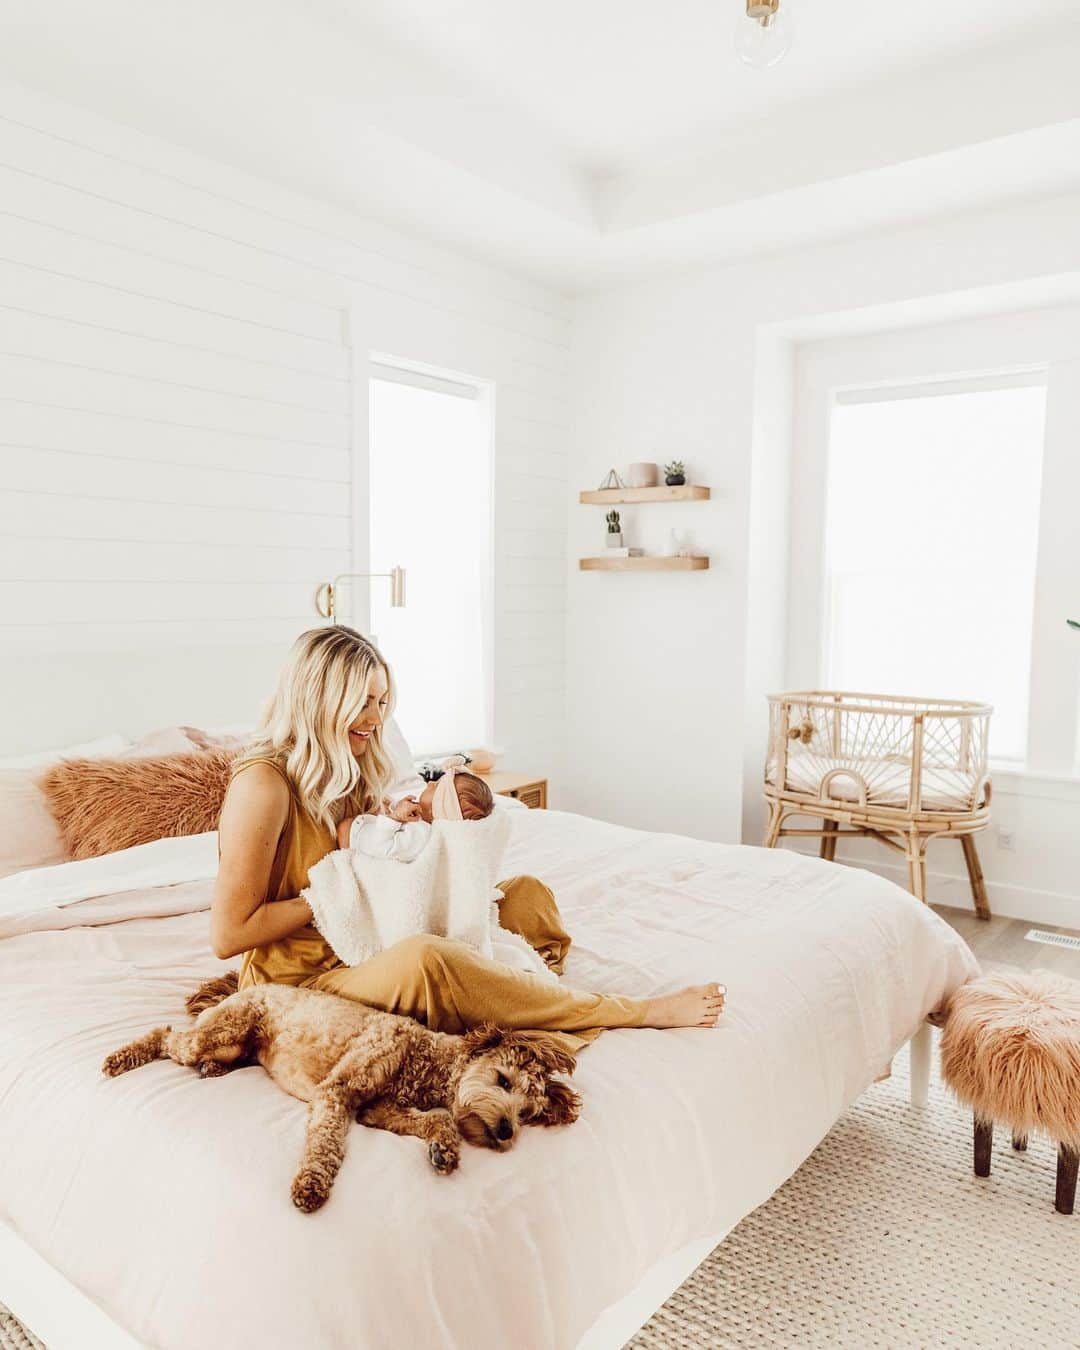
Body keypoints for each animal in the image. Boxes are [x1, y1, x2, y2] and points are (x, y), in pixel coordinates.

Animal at [104, 982, 577, 1215]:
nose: (506, 1132)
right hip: (224, 1031)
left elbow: (437, 1120)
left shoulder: (379, 1110)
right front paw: (311, 1186)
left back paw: (212, 1070)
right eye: (503, 1080)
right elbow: (326, 1143)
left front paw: (444, 1151)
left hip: (234, 1045)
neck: (424, 1058)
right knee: (167, 1035)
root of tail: (239, 991)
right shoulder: (340, 1093)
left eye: (528, 1112)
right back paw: (122, 1057)